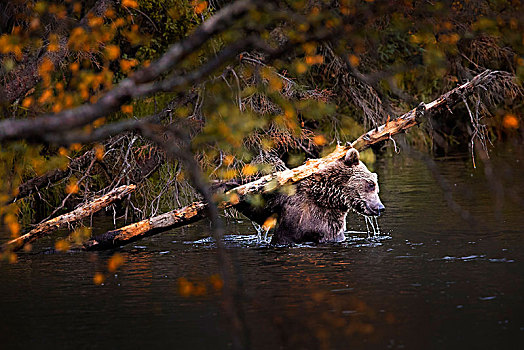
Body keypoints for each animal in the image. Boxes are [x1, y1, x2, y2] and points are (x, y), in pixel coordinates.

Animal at [233, 148, 384, 243]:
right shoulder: (285, 200)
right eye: (371, 184)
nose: (380, 207)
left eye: (375, 187)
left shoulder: (331, 225)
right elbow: (257, 207)